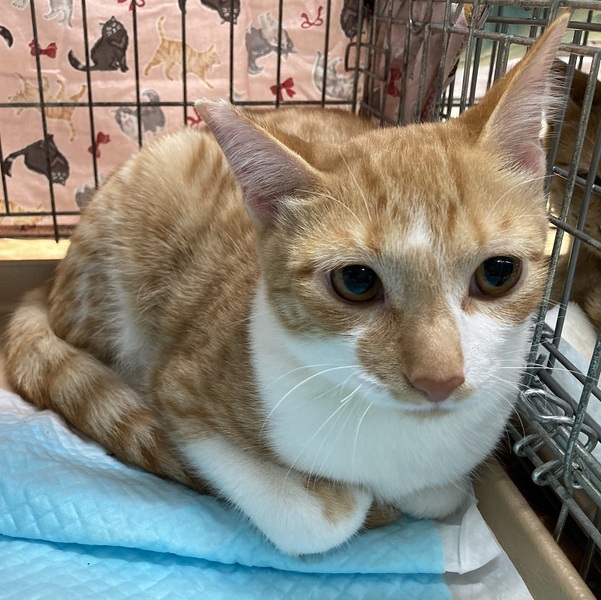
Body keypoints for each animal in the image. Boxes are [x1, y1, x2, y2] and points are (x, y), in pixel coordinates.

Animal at [5, 14, 568, 555]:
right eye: (356, 281)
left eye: (497, 273)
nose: (439, 379)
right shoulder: (178, 391)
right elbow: (319, 521)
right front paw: (344, 498)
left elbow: (442, 491)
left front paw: (423, 490)